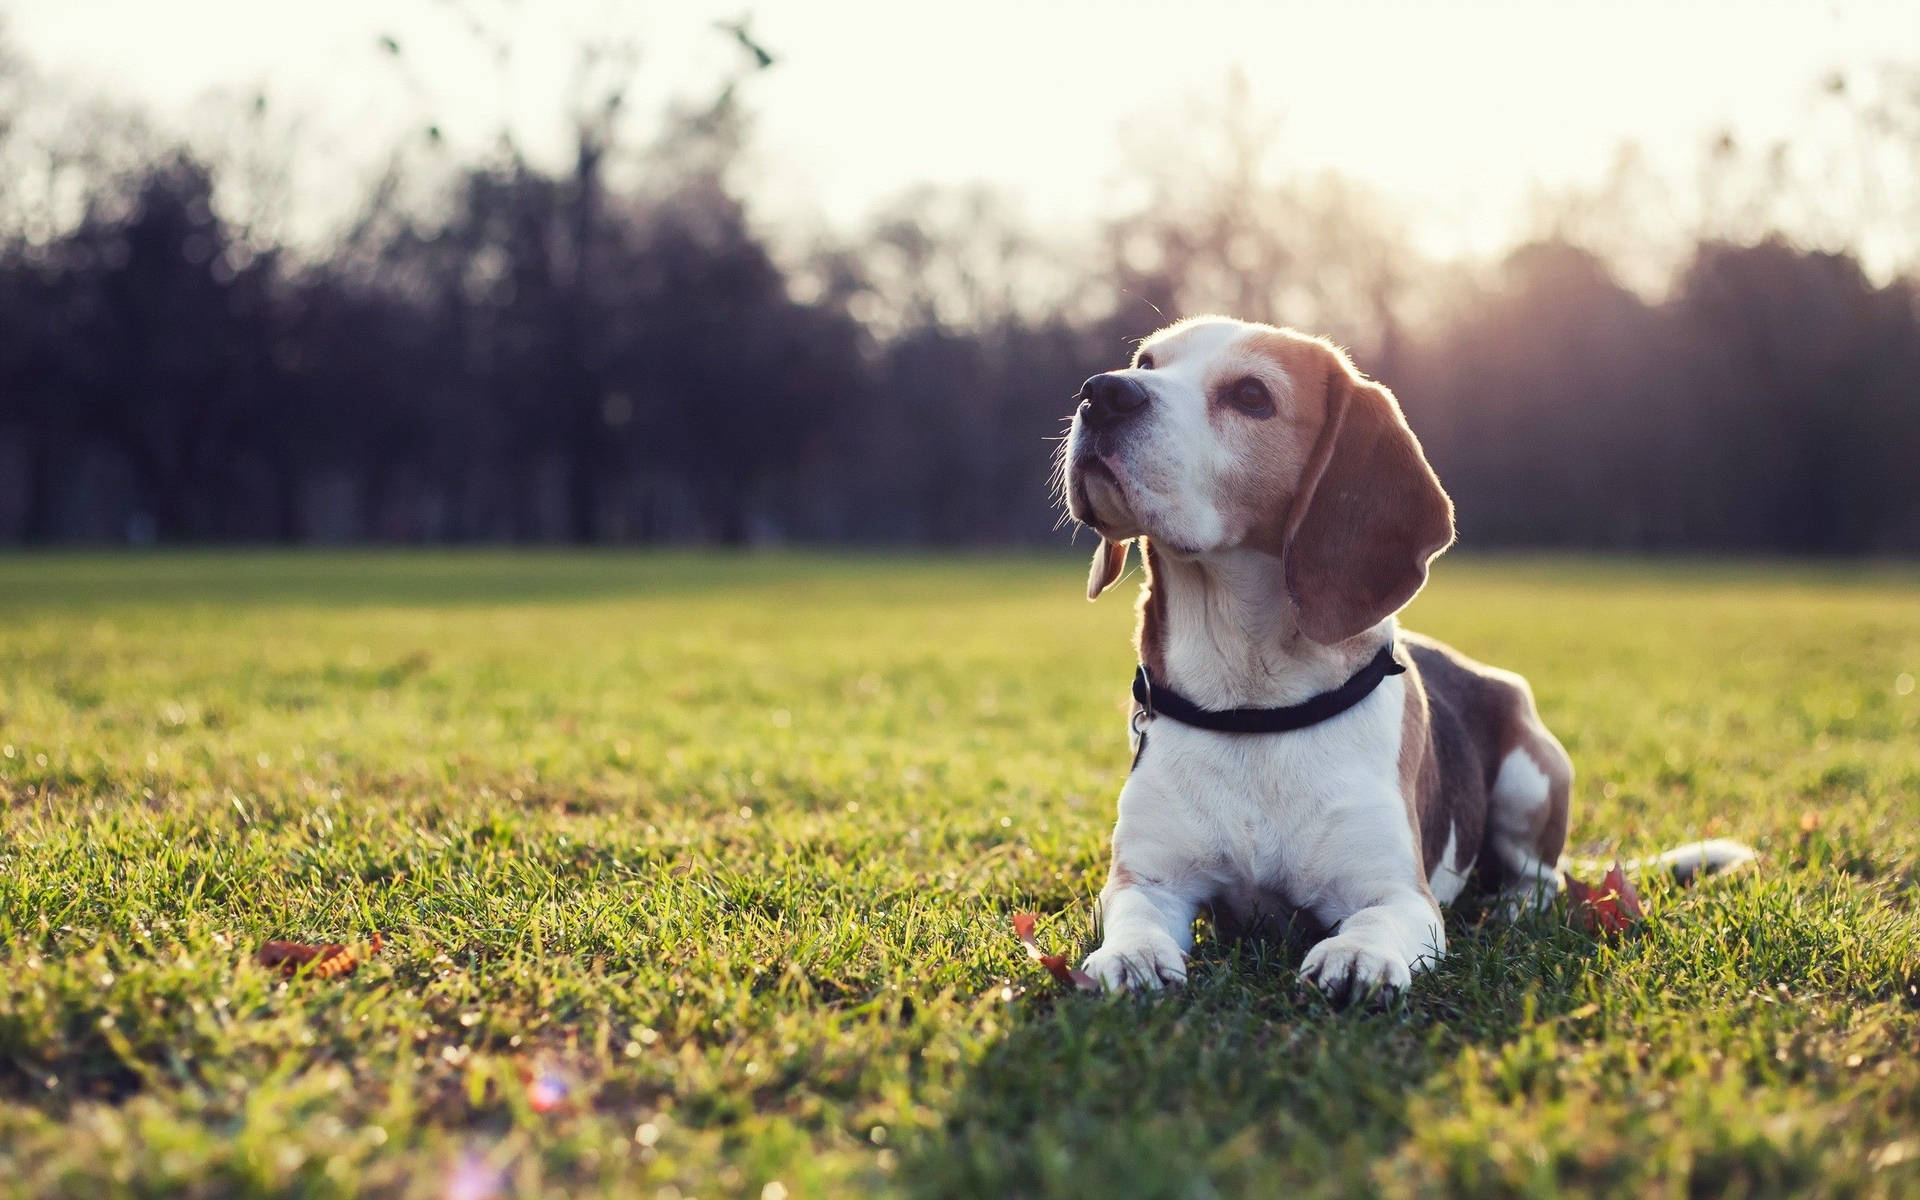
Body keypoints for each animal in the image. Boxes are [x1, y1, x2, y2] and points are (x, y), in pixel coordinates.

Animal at [1067, 312, 1758, 998]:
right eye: (1146, 363)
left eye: (1251, 396)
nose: (1102, 392)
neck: (1251, 703)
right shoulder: (1148, 880)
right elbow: (1134, 916)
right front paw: (1130, 957)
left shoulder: (1399, 895)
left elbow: (1377, 922)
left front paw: (1358, 957)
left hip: (1530, 775)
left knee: (1539, 880)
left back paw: (1507, 907)